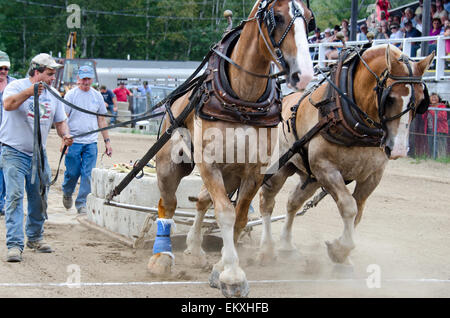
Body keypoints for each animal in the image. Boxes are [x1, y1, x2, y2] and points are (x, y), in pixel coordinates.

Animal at [147, 0, 312, 298]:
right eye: (277, 17)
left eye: (309, 19)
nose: (303, 74)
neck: (243, 101)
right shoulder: (209, 165)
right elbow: (225, 213)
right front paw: (233, 275)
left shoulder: (254, 171)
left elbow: (240, 217)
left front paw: (221, 268)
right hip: (169, 164)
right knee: (168, 204)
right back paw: (161, 258)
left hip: (231, 174)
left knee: (202, 201)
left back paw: (195, 248)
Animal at [256, 44, 436, 266]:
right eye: (390, 98)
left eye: (420, 101)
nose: (399, 150)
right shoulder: (326, 169)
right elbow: (349, 207)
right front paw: (340, 249)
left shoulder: (372, 176)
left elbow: (358, 211)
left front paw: (343, 254)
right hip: (280, 169)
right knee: (266, 201)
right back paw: (266, 249)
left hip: (309, 175)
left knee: (293, 202)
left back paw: (287, 246)